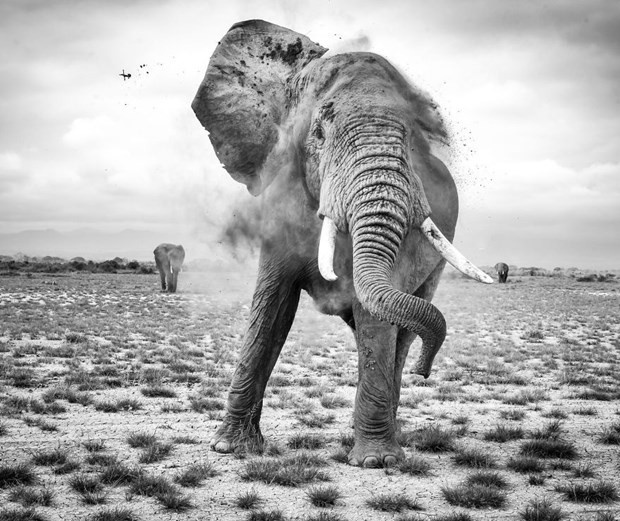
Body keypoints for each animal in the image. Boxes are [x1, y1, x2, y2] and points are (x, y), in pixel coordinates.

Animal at [191, 20, 492, 468]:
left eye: (411, 137)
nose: (426, 372)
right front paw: (231, 448)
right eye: (318, 133)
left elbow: (376, 319)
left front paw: (378, 461)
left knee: (402, 329)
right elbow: (271, 309)